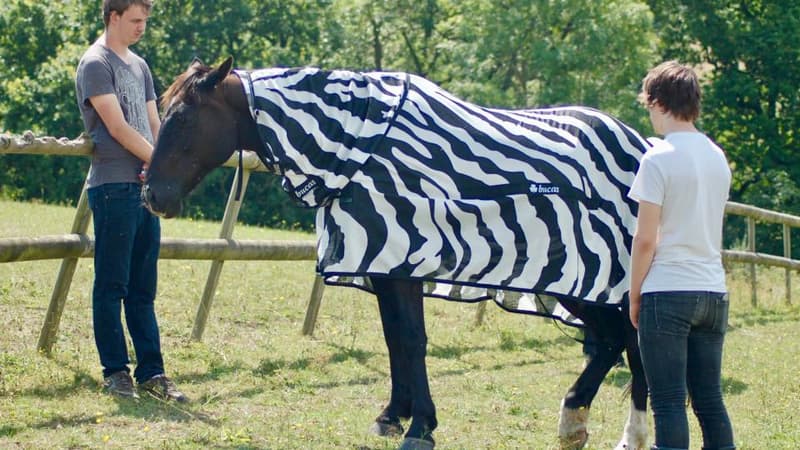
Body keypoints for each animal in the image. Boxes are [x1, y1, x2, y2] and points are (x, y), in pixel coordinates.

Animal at [143, 57, 649, 450]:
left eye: (182, 117)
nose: (152, 196)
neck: (363, 151)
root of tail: (640, 145)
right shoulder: (383, 265)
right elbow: (394, 340)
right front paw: (393, 415)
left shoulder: (405, 261)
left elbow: (411, 339)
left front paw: (421, 425)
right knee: (615, 341)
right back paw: (578, 422)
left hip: (594, 279)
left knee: (628, 341)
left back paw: (626, 431)